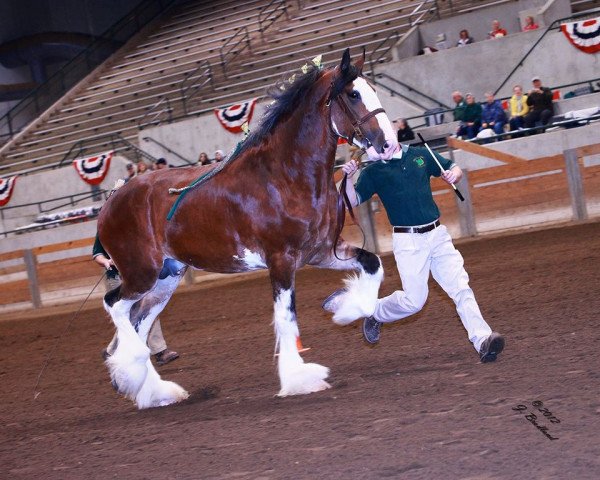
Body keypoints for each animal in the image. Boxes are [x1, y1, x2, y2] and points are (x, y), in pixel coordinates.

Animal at [97, 49, 398, 408]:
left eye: (373, 89)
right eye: (353, 94)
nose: (389, 145)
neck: (285, 175)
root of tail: (112, 199)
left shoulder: (322, 252)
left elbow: (373, 263)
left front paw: (345, 309)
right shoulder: (281, 260)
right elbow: (286, 317)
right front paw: (299, 379)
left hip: (165, 279)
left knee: (139, 320)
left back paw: (153, 391)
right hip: (140, 273)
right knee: (115, 305)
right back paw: (131, 372)